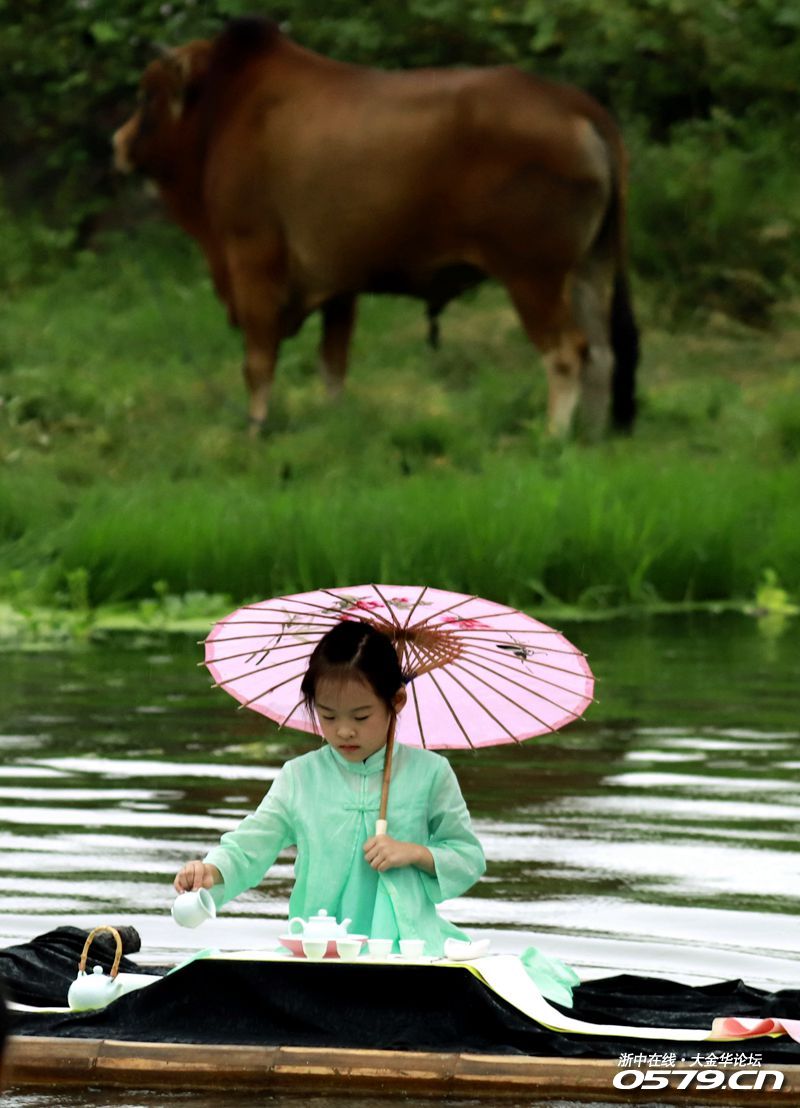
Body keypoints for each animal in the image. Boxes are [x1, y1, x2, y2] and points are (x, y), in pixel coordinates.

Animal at [111, 16, 633, 436]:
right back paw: (591, 437)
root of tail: (574, 105)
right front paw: (336, 425)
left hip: (533, 276)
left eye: (146, 94)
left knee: (567, 352)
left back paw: (553, 437)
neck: (226, 107)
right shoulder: (339, 285)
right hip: (587, 271)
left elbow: (258, 362)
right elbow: (333, 363)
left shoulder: (252, 261)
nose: (117, 142)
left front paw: (255, 430)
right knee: (603, 353)